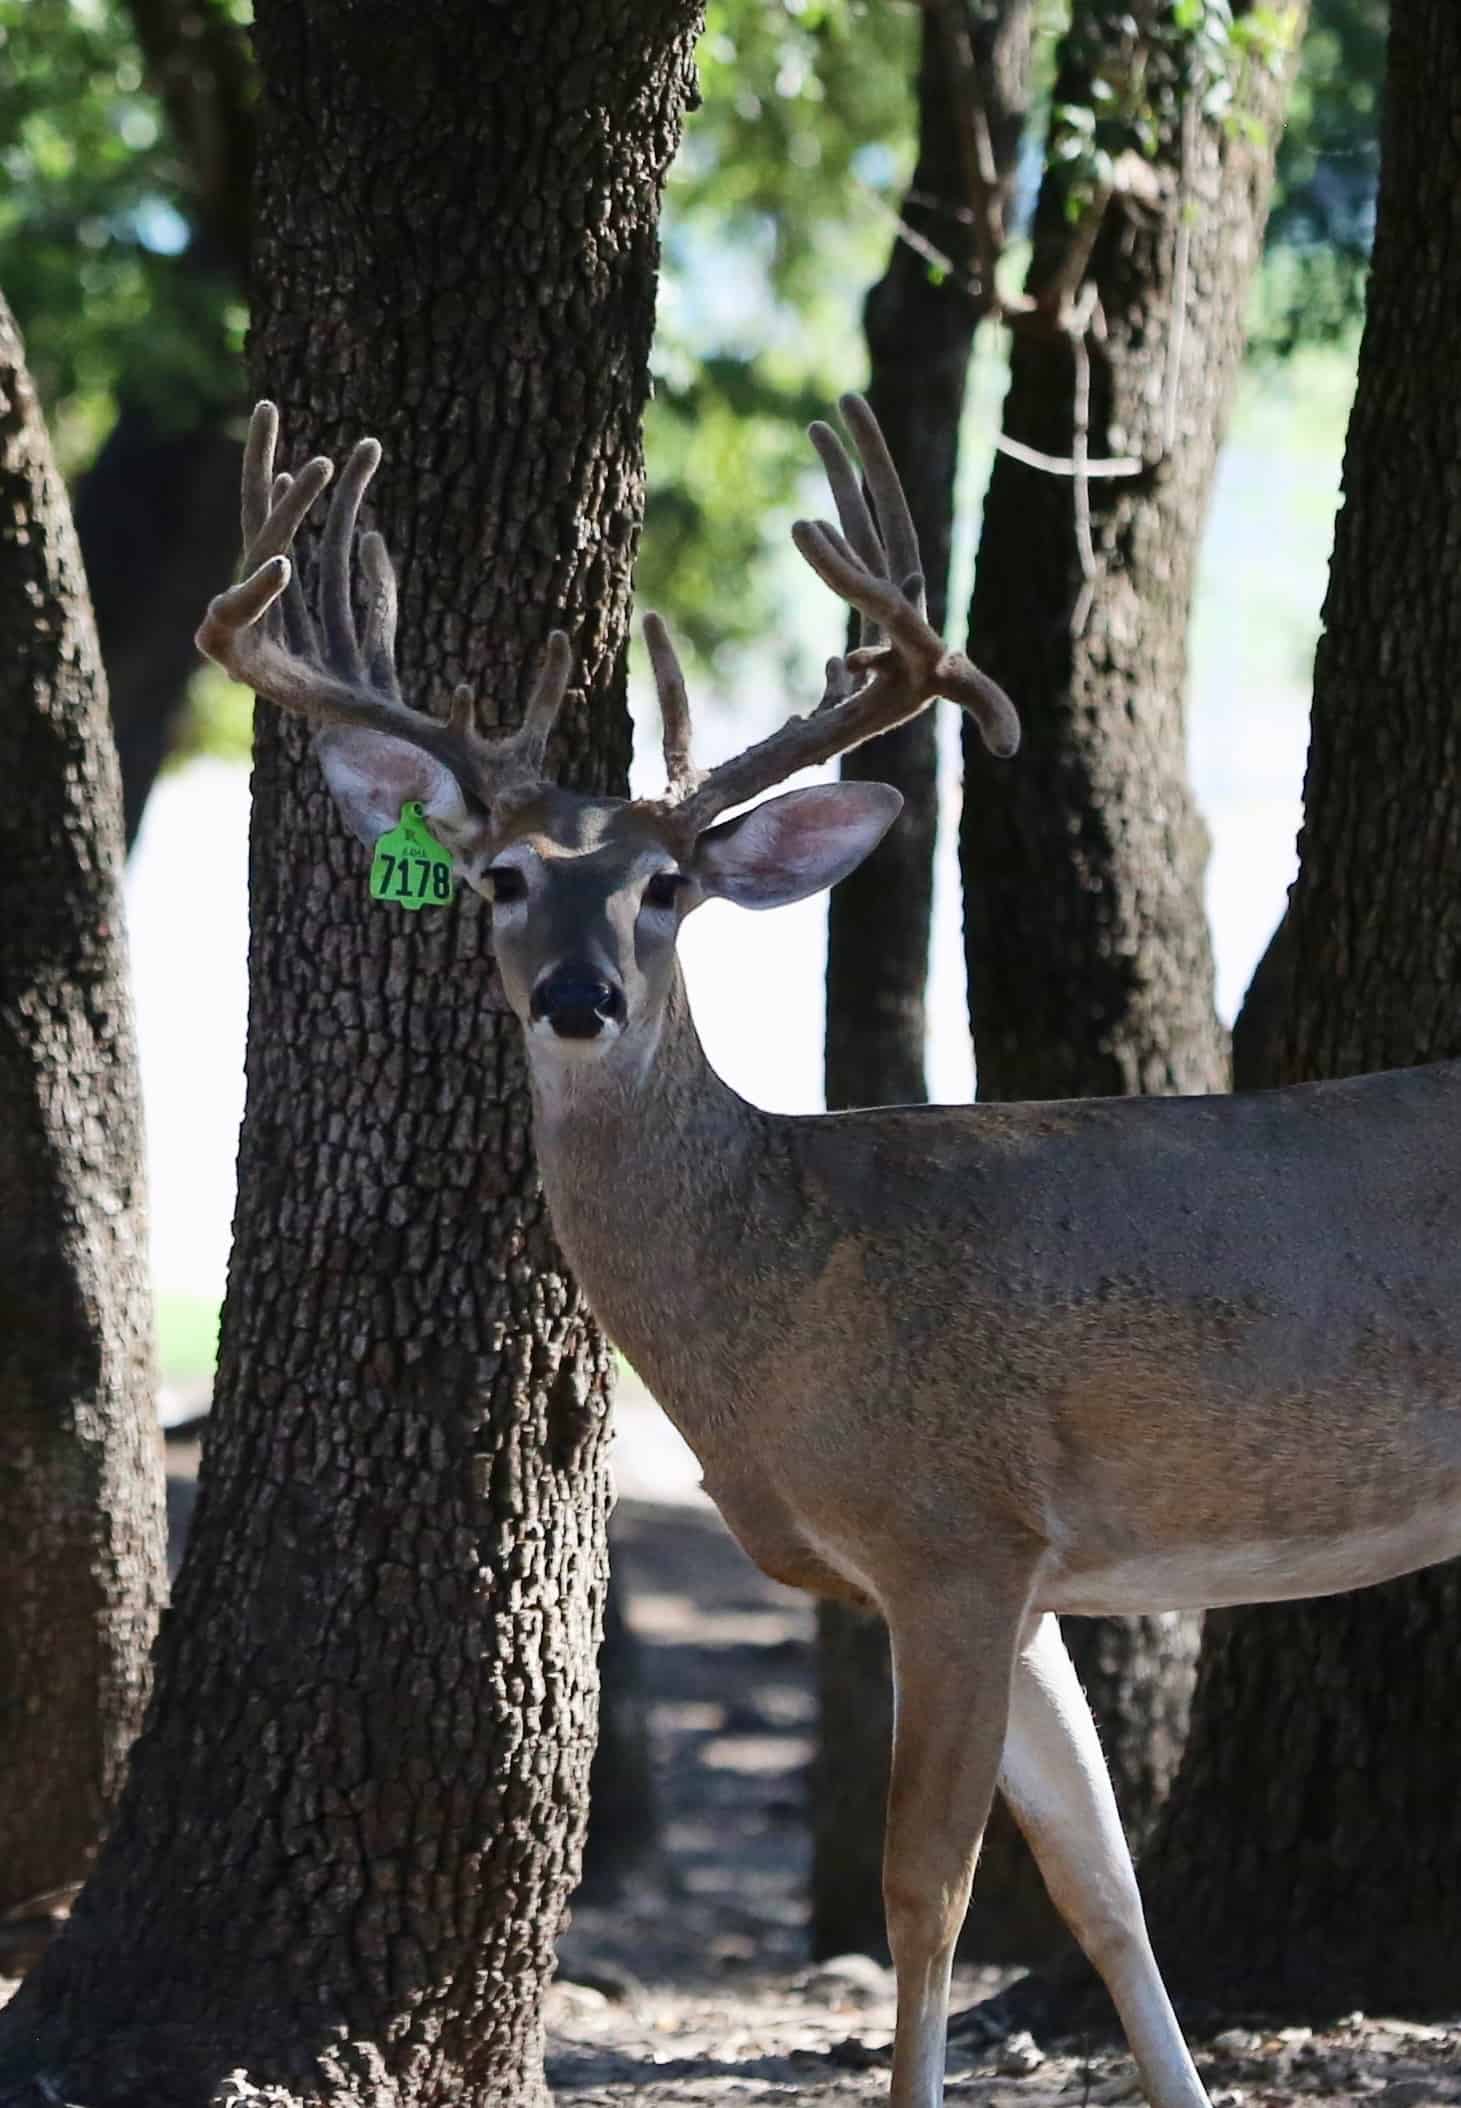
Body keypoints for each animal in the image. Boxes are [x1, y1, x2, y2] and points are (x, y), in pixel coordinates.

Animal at [197, 395, 1461, 2108]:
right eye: (504, 877)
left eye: (666, 886)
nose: (580, 998)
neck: (782, 1285)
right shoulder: (1029, 1569)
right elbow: (1102, 1884)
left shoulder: (951, 1530)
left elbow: (923, 1886)